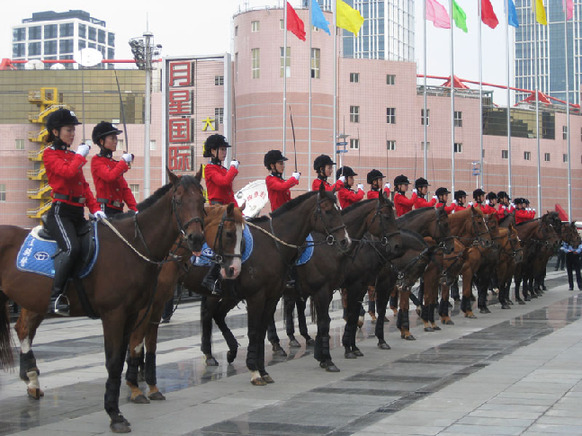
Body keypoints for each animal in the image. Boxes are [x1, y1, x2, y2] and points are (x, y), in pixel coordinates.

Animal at [0, 170, 206, 432]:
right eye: (178, 201)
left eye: (202, 200)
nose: (196, 238)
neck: (133, 246)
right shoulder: (114, 314)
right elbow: (115, 361)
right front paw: (115, 413)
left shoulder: (135, 313)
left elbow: (130, 352)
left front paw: (125, 401)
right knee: (24, 329)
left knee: (24, 329)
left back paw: (32, 382)